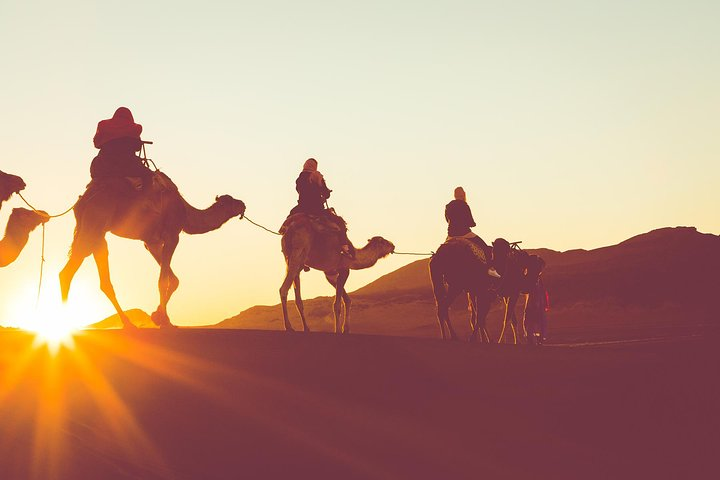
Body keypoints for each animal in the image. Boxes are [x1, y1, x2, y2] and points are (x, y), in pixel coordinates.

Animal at [59, 173, 245, 330]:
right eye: (231, 201)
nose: (242, 204)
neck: (185, 212)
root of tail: (82, 202)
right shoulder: (172, 235)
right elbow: (163, 281)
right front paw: (164, 321)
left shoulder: (151, 242)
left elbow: (174, 280)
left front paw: (159, 316)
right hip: (94, 224)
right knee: (68, 271)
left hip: (98, 235)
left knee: (101, 278)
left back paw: (127, 324)